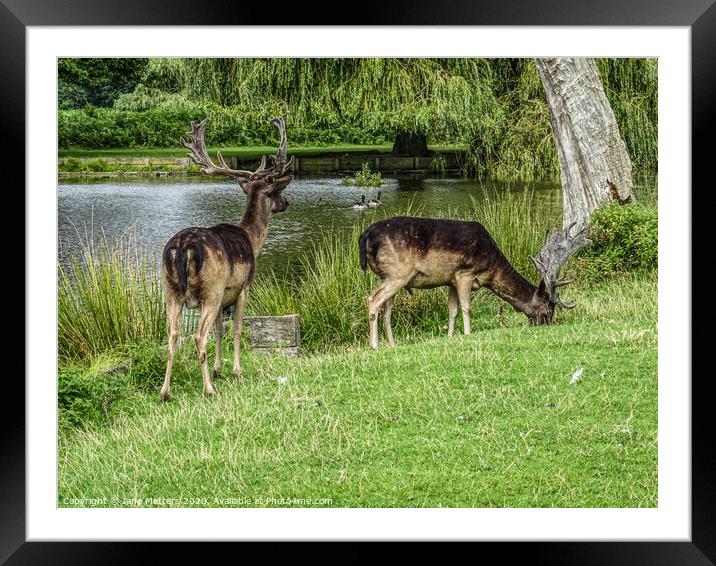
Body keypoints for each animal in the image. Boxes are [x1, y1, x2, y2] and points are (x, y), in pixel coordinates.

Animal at [161, 118, 296, 404]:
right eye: (277, 192)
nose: (286, 201)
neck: (252, 239)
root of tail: (184, 247)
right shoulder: (242, 288)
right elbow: (235, 329)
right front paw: (235, 370)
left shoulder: (223, 298)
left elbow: (220, 331)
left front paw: (218, 368)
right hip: (210, 289)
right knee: (198, 336)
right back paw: (208, 389)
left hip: (171, 290)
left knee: (173, 335)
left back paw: (165, 392)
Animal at [360, 217, 592, 350]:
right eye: (548, 310)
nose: (545, 324)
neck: (490, 268)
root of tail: (365, 236)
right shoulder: (465, 272)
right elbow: (466, 306)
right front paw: (468, 333)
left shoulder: (450, 280)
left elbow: (452, 310)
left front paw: (450, 336)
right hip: (397, 273)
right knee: (373, 299)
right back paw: (374, 345)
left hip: (389, 276)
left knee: (386, 309)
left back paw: (392, 344)